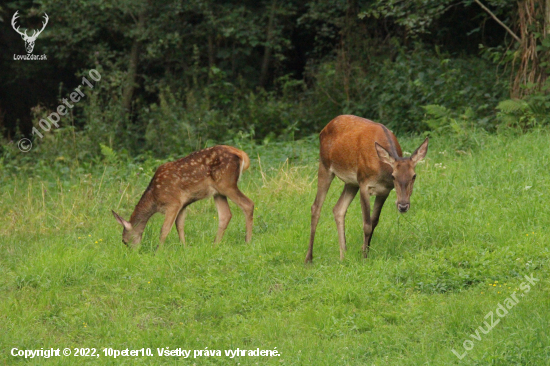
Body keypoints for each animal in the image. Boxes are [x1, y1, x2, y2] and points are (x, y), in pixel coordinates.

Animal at [114, 145, 256, 249]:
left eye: (124, 240)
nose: (133, 252)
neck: (154, 198)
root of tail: (241, 154)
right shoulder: (182, 205)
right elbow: (179, 225)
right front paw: (184, 247)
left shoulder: (173, 202)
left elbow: (164, 229)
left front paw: (158, 251)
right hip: (218, 192)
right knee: (225, 215)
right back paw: (215, 244)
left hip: (226, 184)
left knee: (248, 204)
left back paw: (247, 241)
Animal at [306, 116, 432, 262]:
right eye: (393, 176)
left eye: (414, 176)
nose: (403, 206)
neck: (381, 170)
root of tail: (323, 129)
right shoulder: (364, 184)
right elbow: (366, 225)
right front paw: (364, 257)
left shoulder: (384, 191)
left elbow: (374, 222)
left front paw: (364, 250)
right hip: (325, 165)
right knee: (316, 207)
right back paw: (309, 259)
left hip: (351, 182)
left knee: (338, 208)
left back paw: (343, 256)